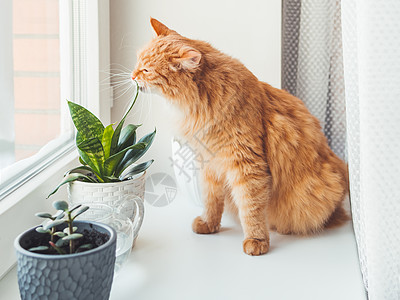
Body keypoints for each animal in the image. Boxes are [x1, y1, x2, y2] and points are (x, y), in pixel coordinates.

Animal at [133, 18, 348, 255]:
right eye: (137, 61)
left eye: (146, 70)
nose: (132, 76)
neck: (202, 103)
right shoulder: (209, 165)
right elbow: (212, 201)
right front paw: (209, 224)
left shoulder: (246, 165)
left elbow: (251, 208)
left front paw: (257, 240)